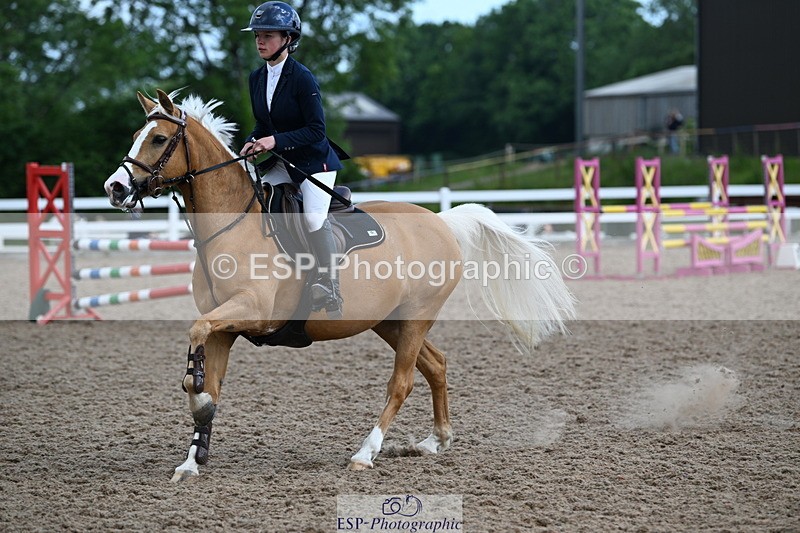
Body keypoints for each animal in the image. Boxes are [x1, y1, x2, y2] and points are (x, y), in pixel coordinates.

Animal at [103, 89, 576, 482]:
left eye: (159, 139)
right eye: (135, 135)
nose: (115, 187)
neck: (231, 225)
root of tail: (440, 220)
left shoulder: (250, 311)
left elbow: (196, 342)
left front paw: (196, 402)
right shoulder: (223, 327)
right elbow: (208, 376)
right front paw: (191, 458)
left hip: (417, 317)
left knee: (402, 382)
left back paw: (366, 453)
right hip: (389, 321)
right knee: (436, 365)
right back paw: (436, 440)